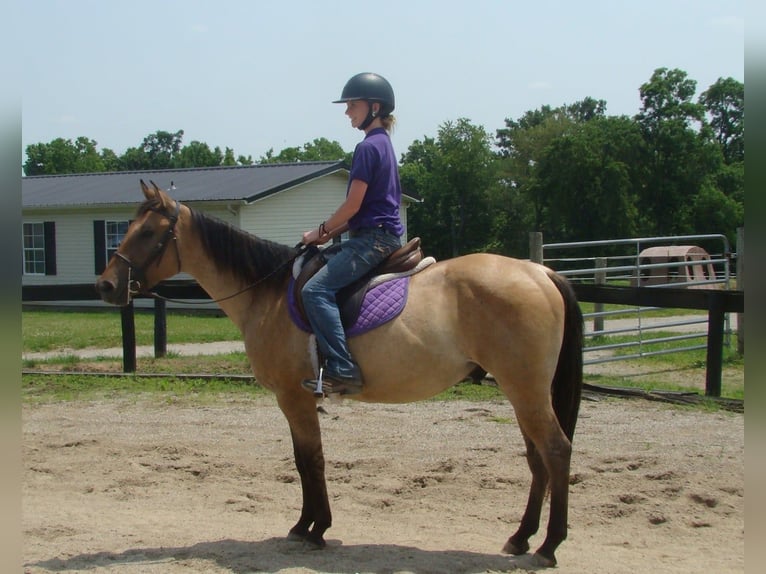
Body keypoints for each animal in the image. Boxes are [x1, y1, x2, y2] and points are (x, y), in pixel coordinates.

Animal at [95, 180, 584, 567]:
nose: (105, 285)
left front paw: (315, 529)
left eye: (149, 232)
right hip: (522, 392)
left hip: (525, 390)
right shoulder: (295, 399)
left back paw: (549, 545)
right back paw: (521, 538)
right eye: (128, 228)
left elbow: (311, 459)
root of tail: (540, 272)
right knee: (538, 458)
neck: (269, 294)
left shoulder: (292, 396)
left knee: (556, 451)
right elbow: (303, 459)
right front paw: (305, 525)